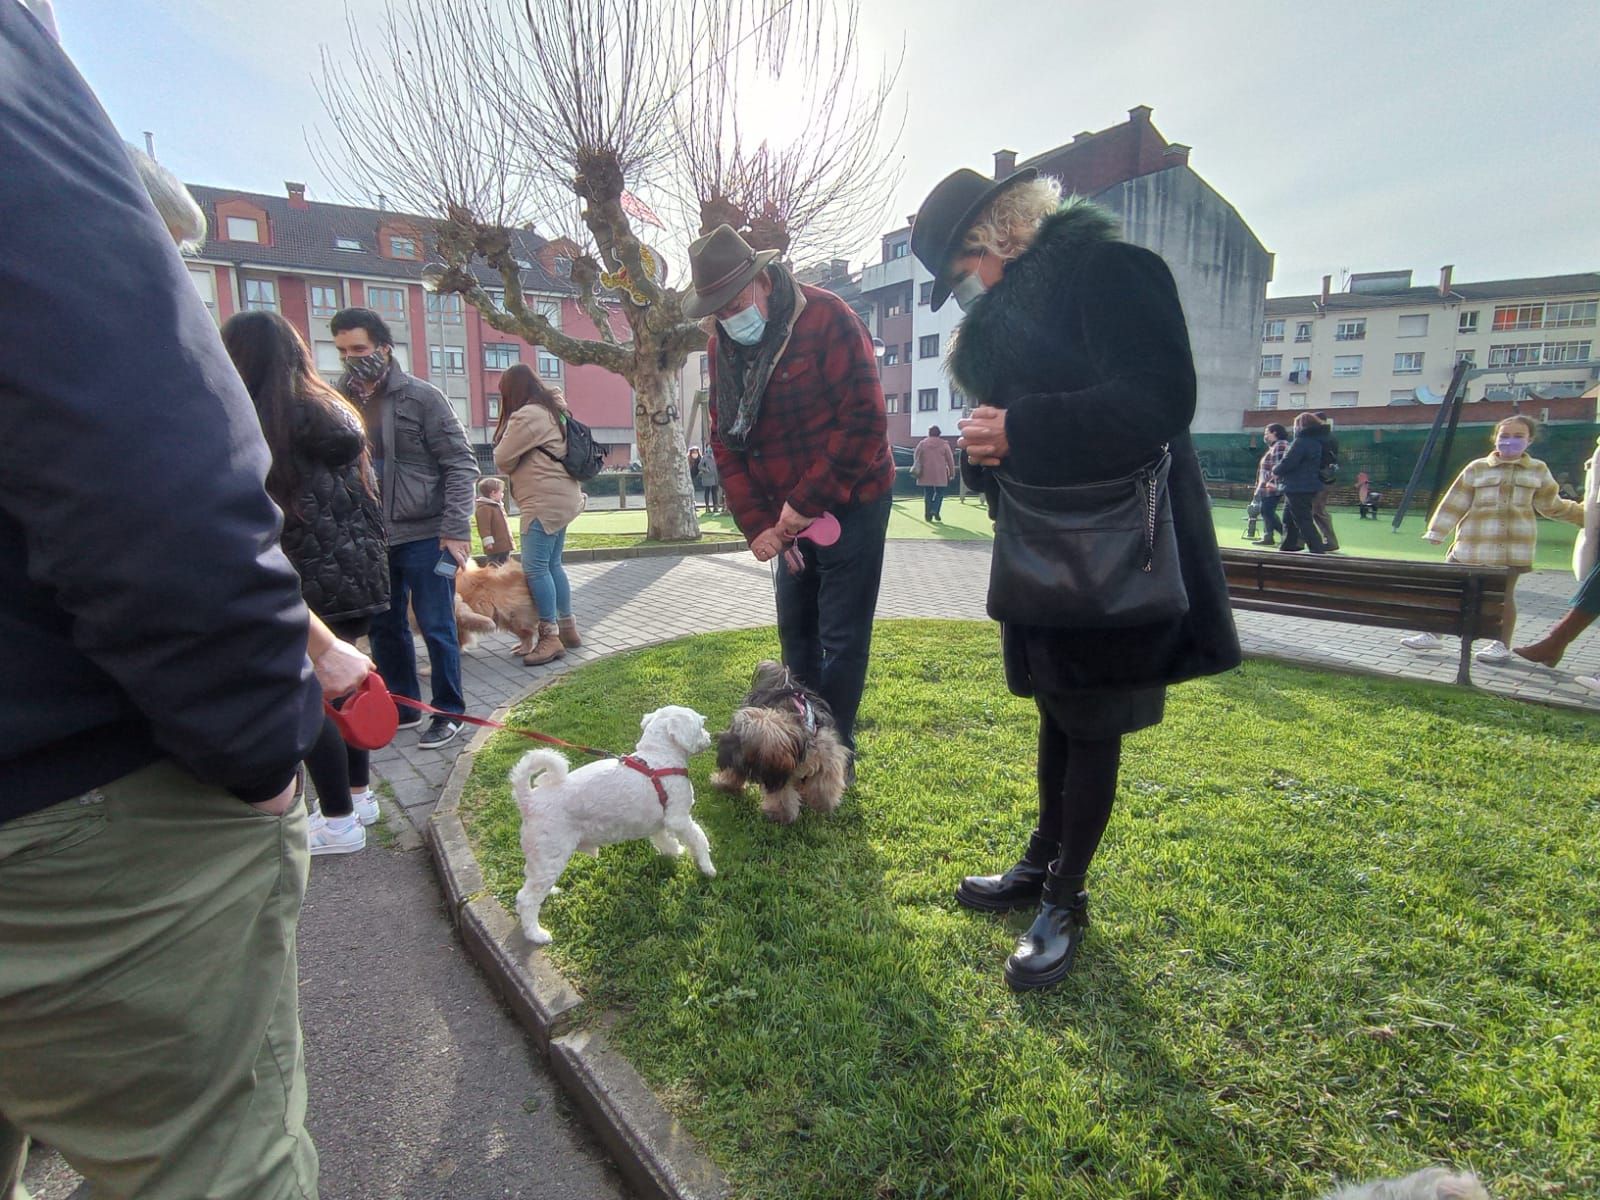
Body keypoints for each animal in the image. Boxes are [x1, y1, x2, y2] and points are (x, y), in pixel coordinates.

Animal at [512, 704, 713, 947]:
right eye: (700, 725)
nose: (710, 737)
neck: (658, 759)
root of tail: (528, 800)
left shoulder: (660, 822)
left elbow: (665, 840)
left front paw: (676, 852)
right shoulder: (679, 818)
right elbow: (699, 838)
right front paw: (707, 867)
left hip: (539, 857)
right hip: (550, 854)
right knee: (526, 898)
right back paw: (536, 934)